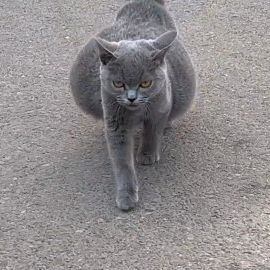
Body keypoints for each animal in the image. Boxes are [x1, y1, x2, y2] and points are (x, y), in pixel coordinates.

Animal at [69, 0, 196, 211]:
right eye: (118, 83)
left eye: (145, 83)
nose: (131, 98)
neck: (136, 112)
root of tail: (145, 2)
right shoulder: (115, 121)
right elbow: (122, 161)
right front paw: (126, 196)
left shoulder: (160, 107)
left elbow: (152, 132)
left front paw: (146, 155)